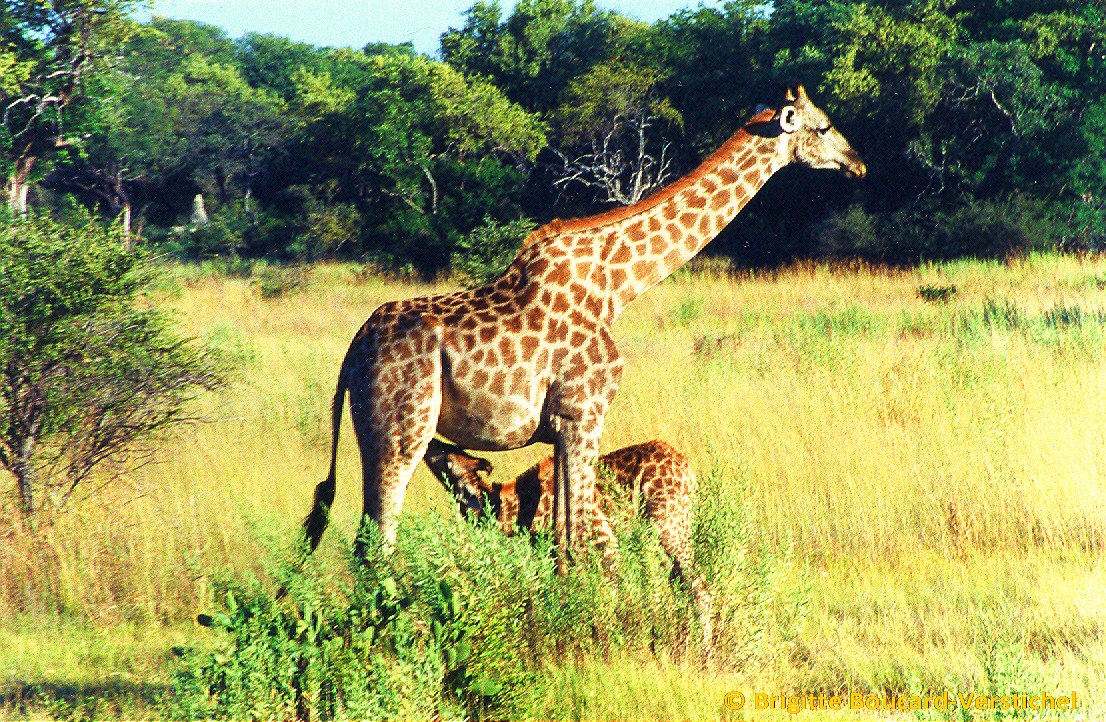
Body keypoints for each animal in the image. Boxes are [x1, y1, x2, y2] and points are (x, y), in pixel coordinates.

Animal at [300, 84, 862, 566]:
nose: (858, 163)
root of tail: (352, 353)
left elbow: (563, 536)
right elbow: (580, 538)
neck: (616, 288)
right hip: (402, 430)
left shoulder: (562, 428)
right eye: (825, 125)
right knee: (376, 541)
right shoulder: (584, 415)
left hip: (379, 432)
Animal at [418, 435, 712, 645]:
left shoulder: (603, 540)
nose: (431, 441)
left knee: (699, 588)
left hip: (669, 525)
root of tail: (688, 468)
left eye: (446, 455)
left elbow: (606, 601)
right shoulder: (555, 554)